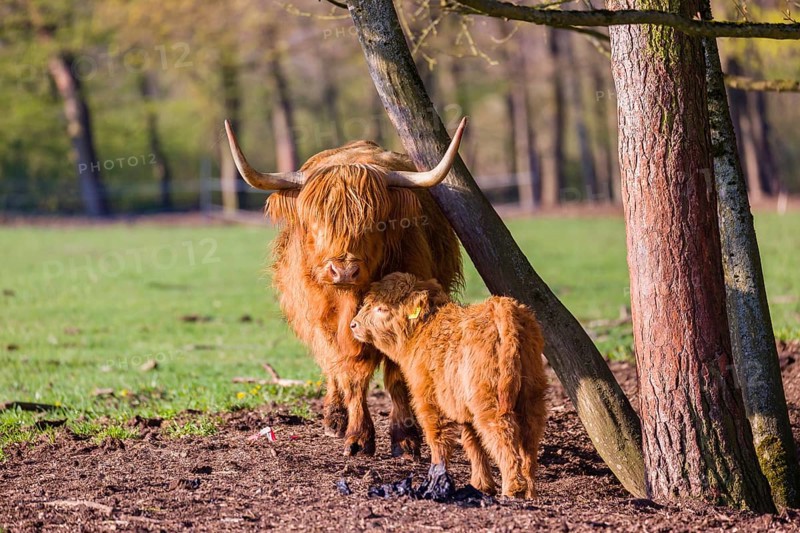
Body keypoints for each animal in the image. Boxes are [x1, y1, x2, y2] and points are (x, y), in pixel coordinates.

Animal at [224, 119, 466, 457]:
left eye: (377, 223)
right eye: (315, 222)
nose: (344, 270)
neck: (351, 298)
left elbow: (396, 376)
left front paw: (405, 438)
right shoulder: (323, 322)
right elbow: (349, 374)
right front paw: (358, 436)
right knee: (330, 367)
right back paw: (335, 418)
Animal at [349, 272, 548, 498]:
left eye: (381, 308)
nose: (354, 324)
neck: (422, 331)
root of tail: (501, 306)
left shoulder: (429, 402)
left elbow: (438, 440)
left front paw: (436, 477)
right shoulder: (464, 408)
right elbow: (474, 444)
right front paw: (481, 485)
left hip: (490, 401)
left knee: (503, 435)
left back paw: (512, 489)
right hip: (531, 396)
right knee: (529, 441)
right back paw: (530, 491)